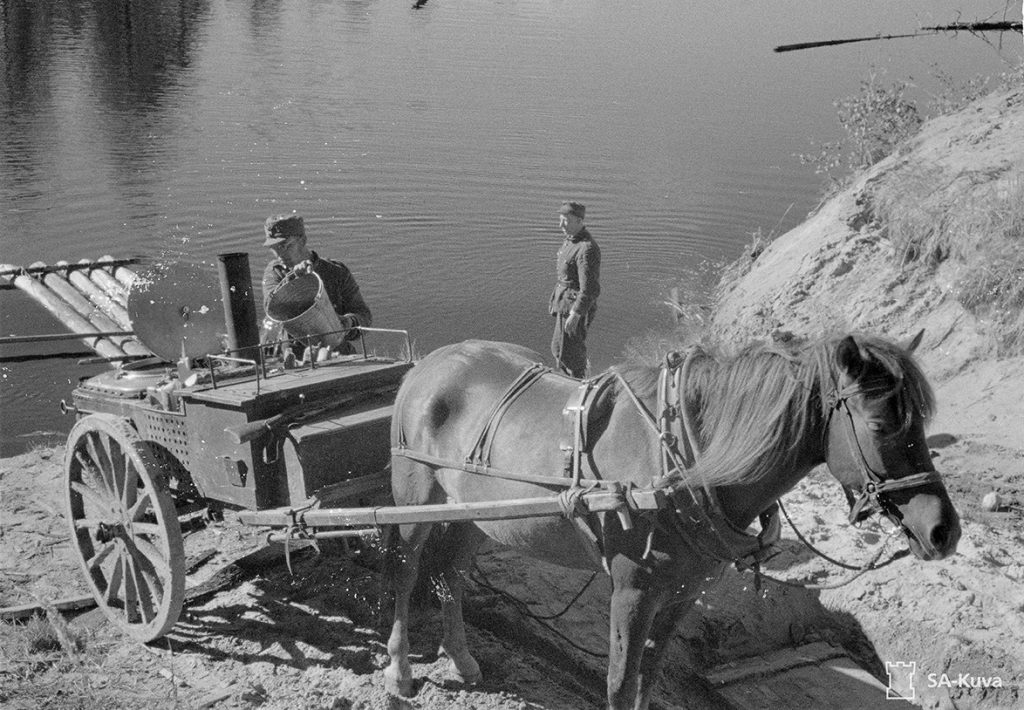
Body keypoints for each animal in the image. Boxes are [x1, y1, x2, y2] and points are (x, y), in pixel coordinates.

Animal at [382, 333, 958, 708]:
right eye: (879, 423)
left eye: (922, 420)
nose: (944, 530)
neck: (683, 464)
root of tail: (428, 365)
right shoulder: (633, 591)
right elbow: (620, 682)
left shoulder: (682, 590)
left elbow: (650, 675)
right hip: (414, 499)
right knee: (407, 575)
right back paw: (400, 670)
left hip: (470, 516)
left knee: (451, 575)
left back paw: (461, 658)